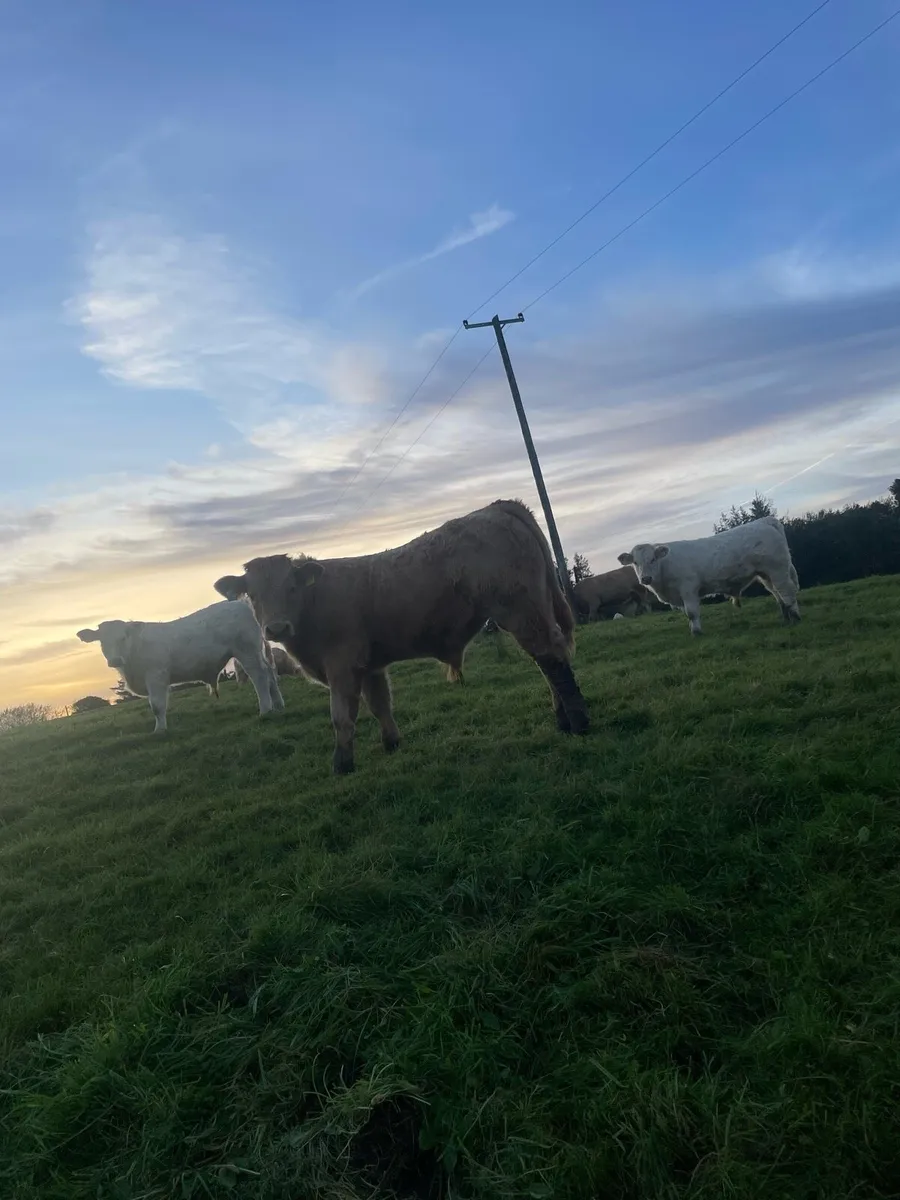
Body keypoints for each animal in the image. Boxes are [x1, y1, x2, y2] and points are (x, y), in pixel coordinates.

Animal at [76, 601, 284, 732]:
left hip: (246, 652)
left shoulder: (156, 676)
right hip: (256, 653)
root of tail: (240, 604)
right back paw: (278, 705)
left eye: (123, 637)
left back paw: (265, 709)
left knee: (260, 677)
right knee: (270, 674)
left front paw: (160, 730)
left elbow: (157, 706)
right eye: (102, 641)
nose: (115, 660)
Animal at [214, 498, 590, 775]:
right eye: (253, 595)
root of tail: (495, 507)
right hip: (534, 608)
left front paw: (342, 765)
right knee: (548, 662)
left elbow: (341, 717)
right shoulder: (370, 666)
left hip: (521, 611)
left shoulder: (341, 665)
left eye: (291, 587)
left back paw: (579, 724)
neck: (315, 604)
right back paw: (563, 721)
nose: (276, 628)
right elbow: (381, 704)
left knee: (552, 659)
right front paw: (392, 743)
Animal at [617, 515, 801, 636]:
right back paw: (786, 617)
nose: (645, 578)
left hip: (777, 569)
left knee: (786, 591)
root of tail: (765, 520)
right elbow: (687, 615)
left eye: (653, 559)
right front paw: (693, 630)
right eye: (635, 562)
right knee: (776, 593)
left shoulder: (688, 589)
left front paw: (697, 633)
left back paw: (795, 617)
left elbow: (692, 613)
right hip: (765, 574)